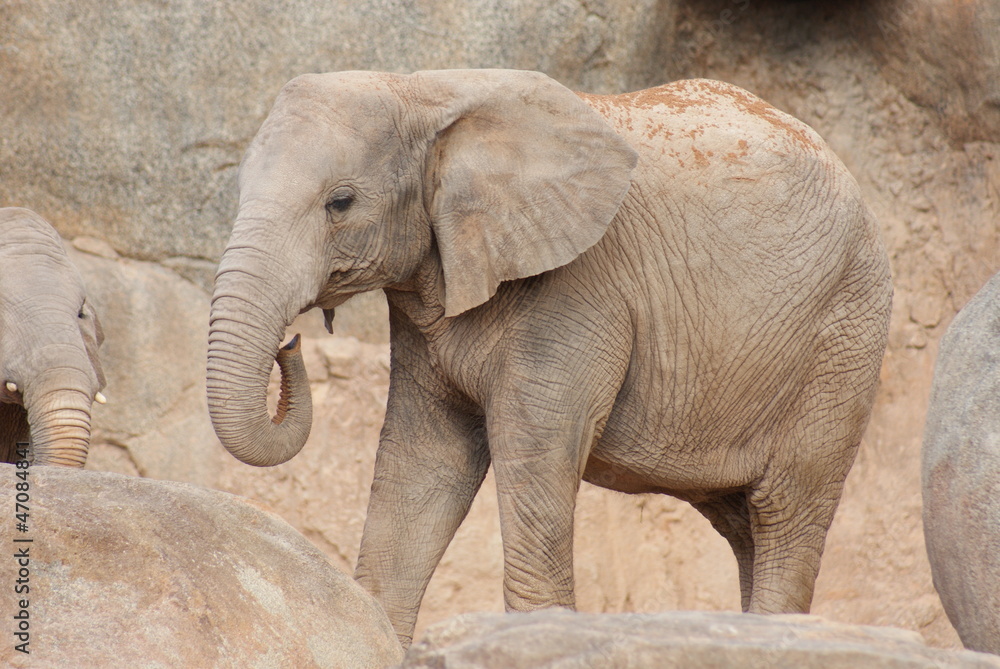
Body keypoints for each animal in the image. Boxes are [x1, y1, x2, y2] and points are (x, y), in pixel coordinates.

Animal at [206, 69, 893, 645]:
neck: (425, 88)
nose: (290, 343)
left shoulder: (580, 285)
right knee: (744, 524)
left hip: (843, 338)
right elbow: (422, 464)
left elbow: (535, 449)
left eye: (340, 202)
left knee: (786, 510)